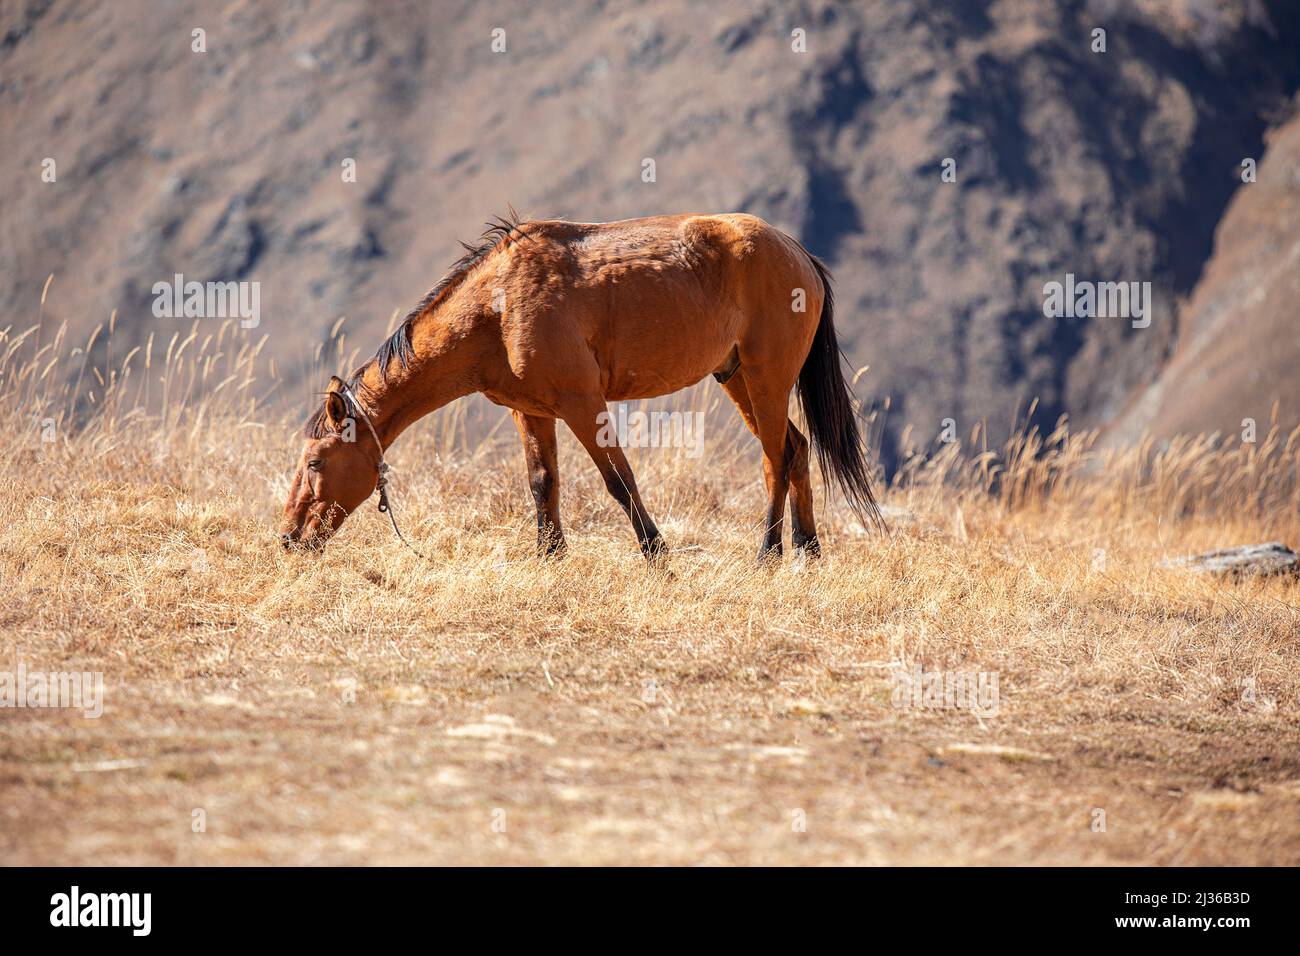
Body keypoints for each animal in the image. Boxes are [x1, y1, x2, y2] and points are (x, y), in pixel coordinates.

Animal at [280, 211, 882, 561]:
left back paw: (768, 551)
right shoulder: (532, 412)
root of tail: (799, 254)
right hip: (737, 378)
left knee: (777, 457)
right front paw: (550, 555)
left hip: (765, 377)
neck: (498, 306)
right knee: (795, 449)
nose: (289, 538)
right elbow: (542, 482)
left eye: (315, 462)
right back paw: (807, 549)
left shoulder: (582, 402)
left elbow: (619, 480)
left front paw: (656, 554)